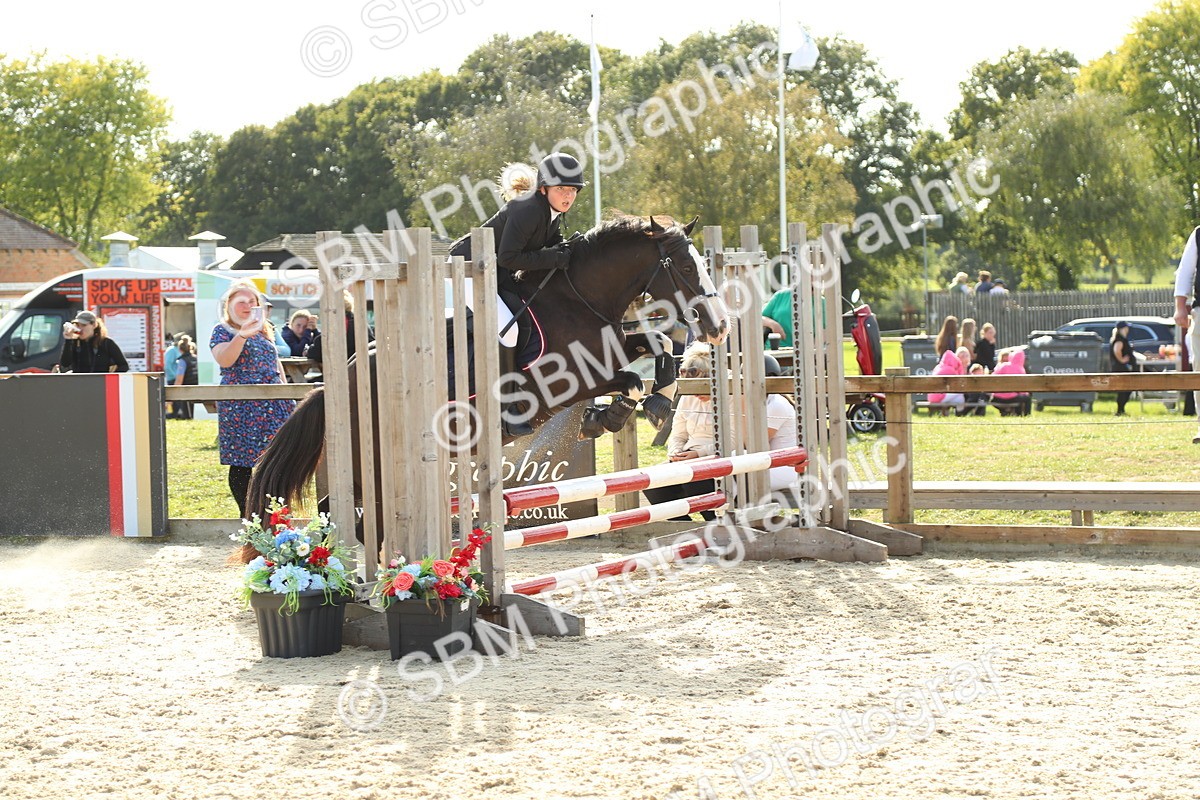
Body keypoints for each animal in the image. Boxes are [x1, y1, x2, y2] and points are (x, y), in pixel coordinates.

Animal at [239, 214, 728, 556]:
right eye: (686, 267)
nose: (720, 328)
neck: (577, 298)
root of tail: (334, 384)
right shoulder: (569, 380)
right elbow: (629, 379)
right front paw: (612, 414)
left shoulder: (612, 347)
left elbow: (659, 345)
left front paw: (648, 407)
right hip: (372, 461)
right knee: (348, 515)